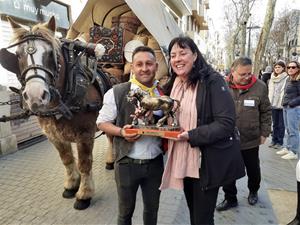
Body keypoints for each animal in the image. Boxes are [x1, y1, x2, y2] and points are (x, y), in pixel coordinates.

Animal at [0, 16, 116, 211]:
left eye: (49, 54)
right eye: (18, 54)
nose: (35, 95)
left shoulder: (85, 135)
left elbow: (84, 163)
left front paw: (84, 194)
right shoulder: (54, 135)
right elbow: (67, 159)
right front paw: (71, 185)